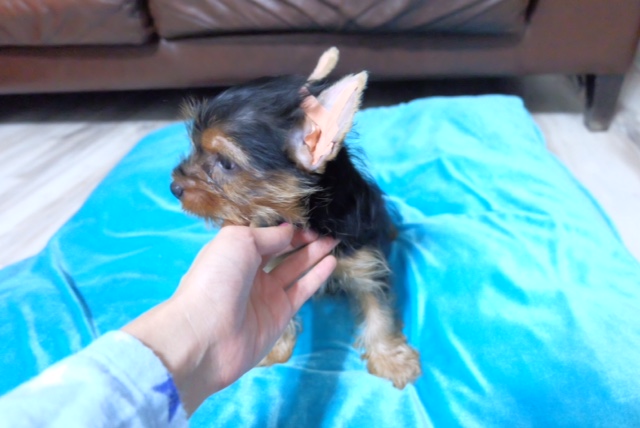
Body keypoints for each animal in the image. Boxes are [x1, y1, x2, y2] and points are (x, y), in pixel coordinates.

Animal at [170, 47, 421, 388]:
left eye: (226, 163)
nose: (174, 187)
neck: (308, 217)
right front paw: (276, 347)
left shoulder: (365, 264)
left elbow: (379, 311)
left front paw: (392, 360)